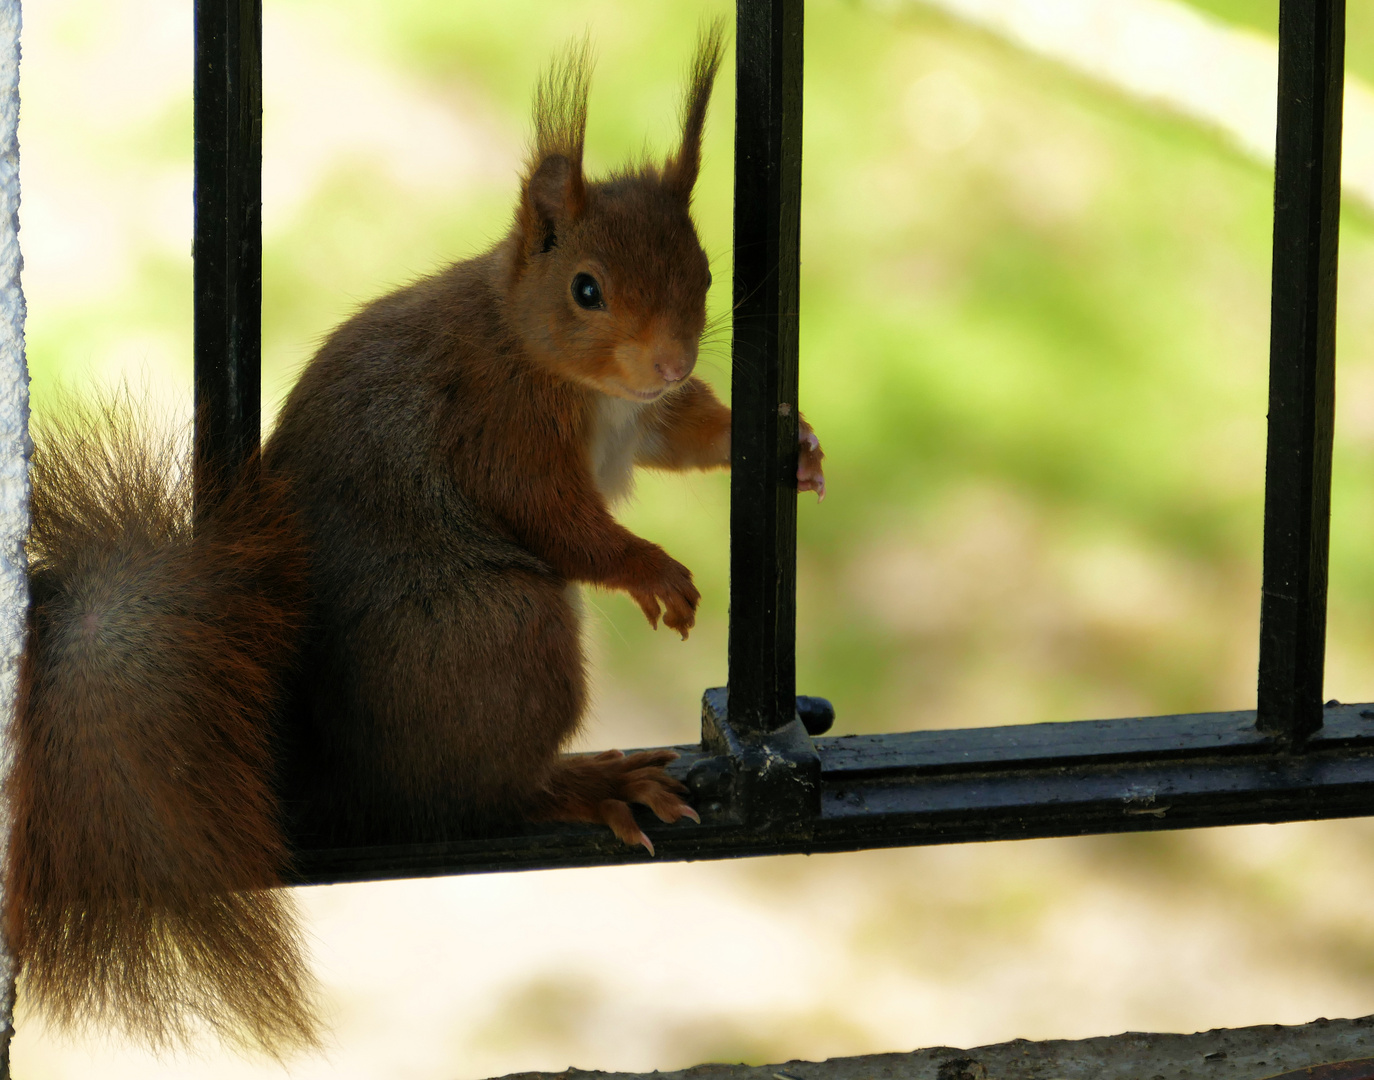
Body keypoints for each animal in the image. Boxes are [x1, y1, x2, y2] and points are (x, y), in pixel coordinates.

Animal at [2, 29, 824, 1055]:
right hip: (498, 633)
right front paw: (654, 570)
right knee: (474, 799)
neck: (545, 358)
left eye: (705, 272)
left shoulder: (639, 416)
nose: (670, 360)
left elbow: (685, 434)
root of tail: (326, 781)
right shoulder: (500, 432)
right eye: (586, 289)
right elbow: (561, 524)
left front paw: (793, 447)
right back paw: (582, 786)